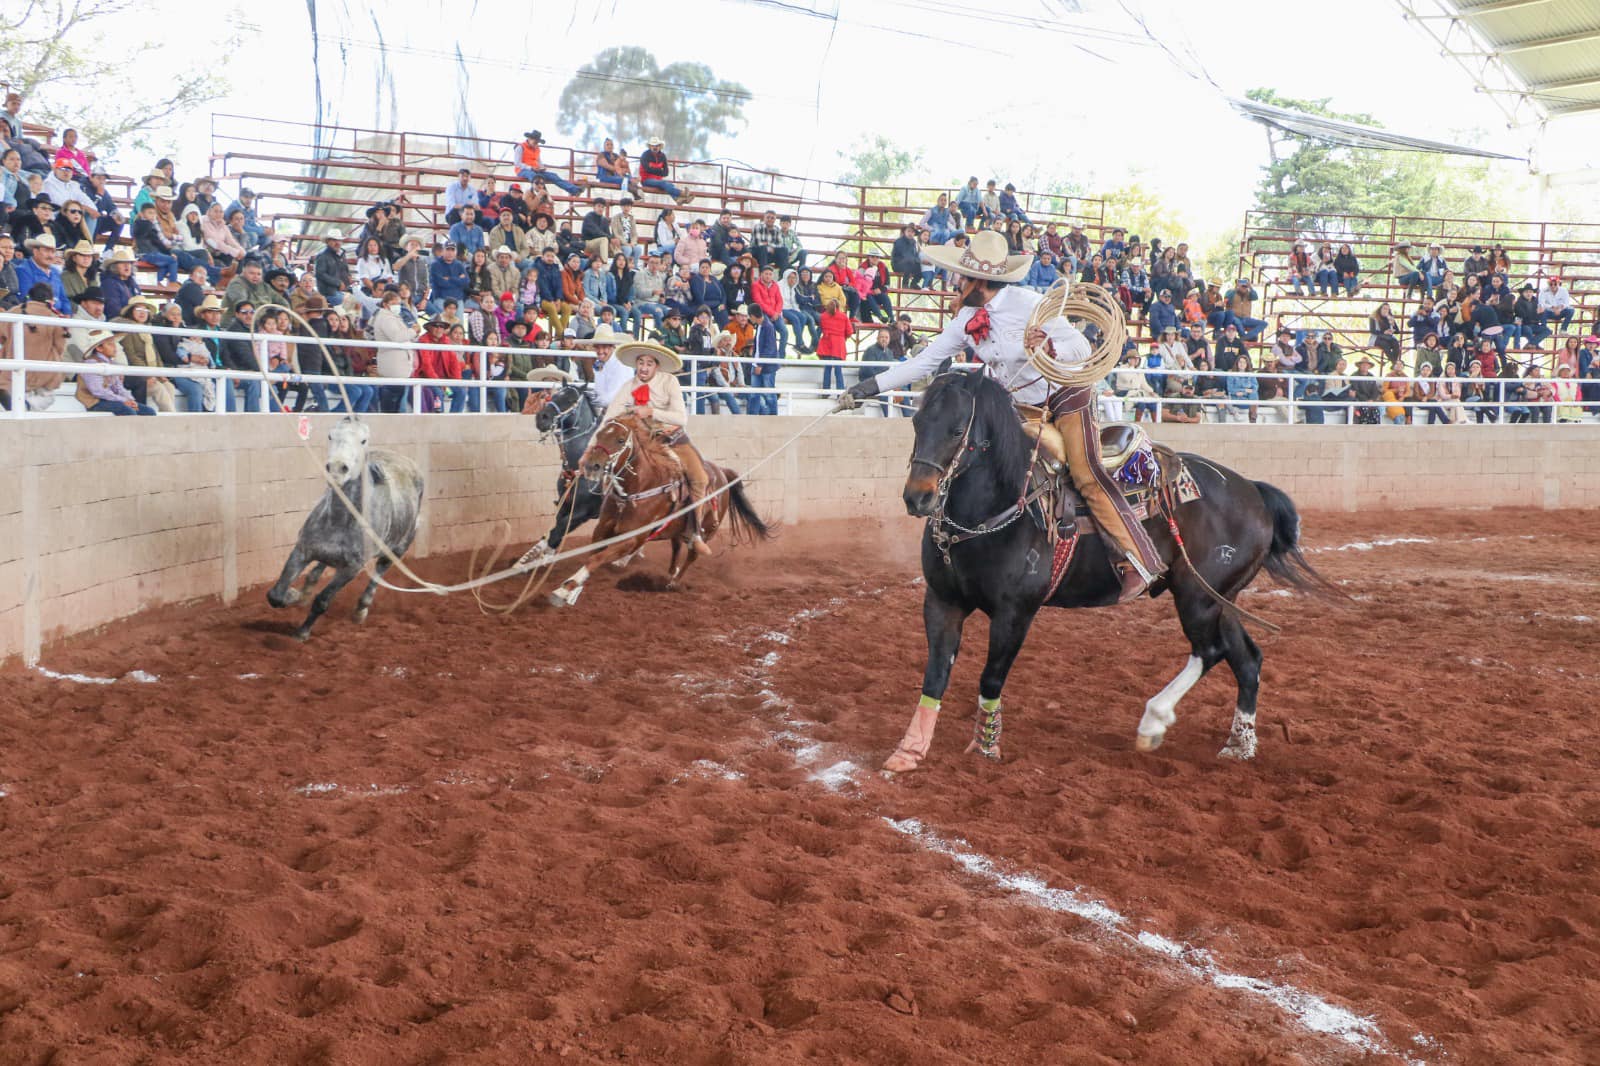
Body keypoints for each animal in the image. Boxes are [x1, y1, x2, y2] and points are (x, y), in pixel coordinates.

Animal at [270, 416, 432, 640]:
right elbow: (276, 594)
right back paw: (305, 592)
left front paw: (302, 632)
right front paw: (293, 595)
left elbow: (322, 601)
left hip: (396, 551)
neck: (340, 519)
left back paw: (360, 610)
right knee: (318, 569)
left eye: (363, 440)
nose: (337, 468)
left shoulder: (351, 569)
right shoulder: (301, 551)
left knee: (377, 575)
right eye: (330, 435)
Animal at [521, 379, 608, 563]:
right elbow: (555, 530)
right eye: (553, 396)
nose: (541, 417)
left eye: (570, 400)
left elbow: (557, 531)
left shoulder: (583, 512)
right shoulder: (564, 503)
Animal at [550, 409, 774, 601]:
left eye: (620, 440)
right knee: (676, 548)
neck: (638, 488)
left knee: (692, 554)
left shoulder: (631, 538)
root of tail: (722, 472)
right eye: (599, 436)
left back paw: (673, 583)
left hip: (707, 530)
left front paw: (563, 591)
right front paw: (572, 587)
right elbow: (592, 554)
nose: (591, 466)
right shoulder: (602, 529)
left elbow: (596, 558)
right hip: (676, 528)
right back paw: (668, 574)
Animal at [889, 371, 1337, 771]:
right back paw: (1239, 746)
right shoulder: (942, 602)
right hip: (1221, 600)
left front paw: (986, 747)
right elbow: (935, 676)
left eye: (957, 430)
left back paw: (1153, 722)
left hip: (1197, 598)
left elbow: (991, 678)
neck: (1001, 506)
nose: (918, 497)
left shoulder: (1015, 614)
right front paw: (909, 751)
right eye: (916, 422)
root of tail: (1252, 492)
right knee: (1246, 659)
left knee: (1209, 651)